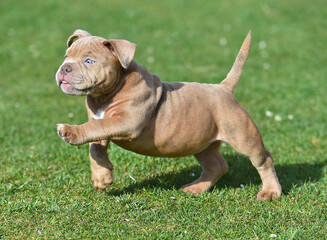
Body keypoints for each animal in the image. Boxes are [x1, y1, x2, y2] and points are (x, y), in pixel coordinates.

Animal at [55, 29, 282, 200]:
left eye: (89, 61)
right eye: (67, 56)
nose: (64, 68)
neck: (104, 95)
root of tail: (224, 88)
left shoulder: (127, 121)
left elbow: (96, 128)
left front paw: (69, 131)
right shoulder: (100, 120)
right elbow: (95, 145)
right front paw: (102, 177)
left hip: (241, 134)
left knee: (264, 160)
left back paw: (271, 192)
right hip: (201, 142)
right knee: (216, 165)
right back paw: (196, 188)